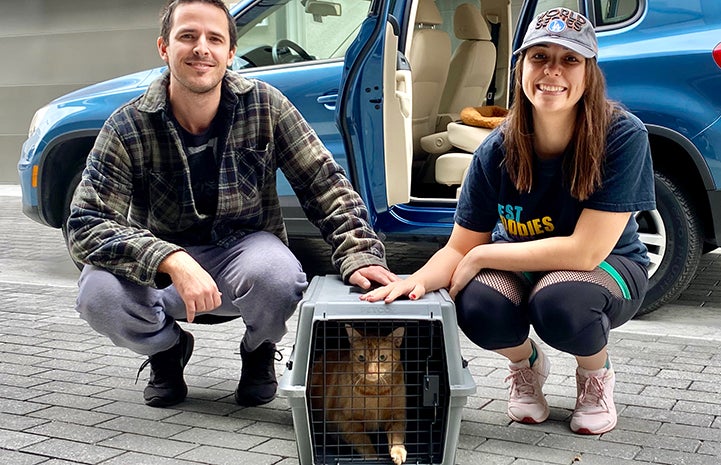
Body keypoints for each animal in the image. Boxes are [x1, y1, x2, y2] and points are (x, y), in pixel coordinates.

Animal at [310, 324, 404, 462]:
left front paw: (398, 452)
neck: (374, 393)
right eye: (361, 358)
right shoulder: (345, 420)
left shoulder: (397, 415)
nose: (371, 371)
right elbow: (363, 441)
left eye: (382, 357)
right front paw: (373, 458)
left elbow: (397, 435)